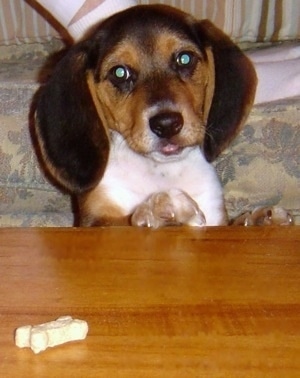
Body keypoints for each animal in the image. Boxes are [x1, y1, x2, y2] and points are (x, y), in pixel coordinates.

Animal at [34, 4, 256, 227]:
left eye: (185, 59)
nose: (167, 124)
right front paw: (161, 209)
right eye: (119, 72)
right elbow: (126, 223)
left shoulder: (215, 214)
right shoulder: (95, 219)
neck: (160, 170)